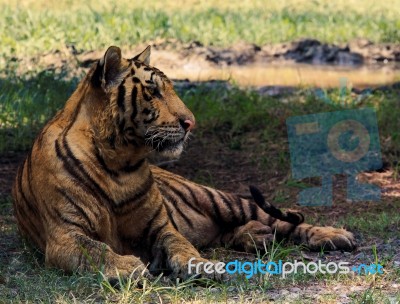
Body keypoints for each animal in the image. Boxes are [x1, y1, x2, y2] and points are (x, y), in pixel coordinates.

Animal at [12, 45, 356, 282]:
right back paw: (256, 237)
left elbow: (182, 247)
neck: (117, 161)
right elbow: (95, 249)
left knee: (283, 220)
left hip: (220, 198)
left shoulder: (160, 226)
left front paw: (204, 266)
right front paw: (127, 266)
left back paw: (332, 235)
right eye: (153, 91)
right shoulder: (65, 235)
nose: (191, 122)